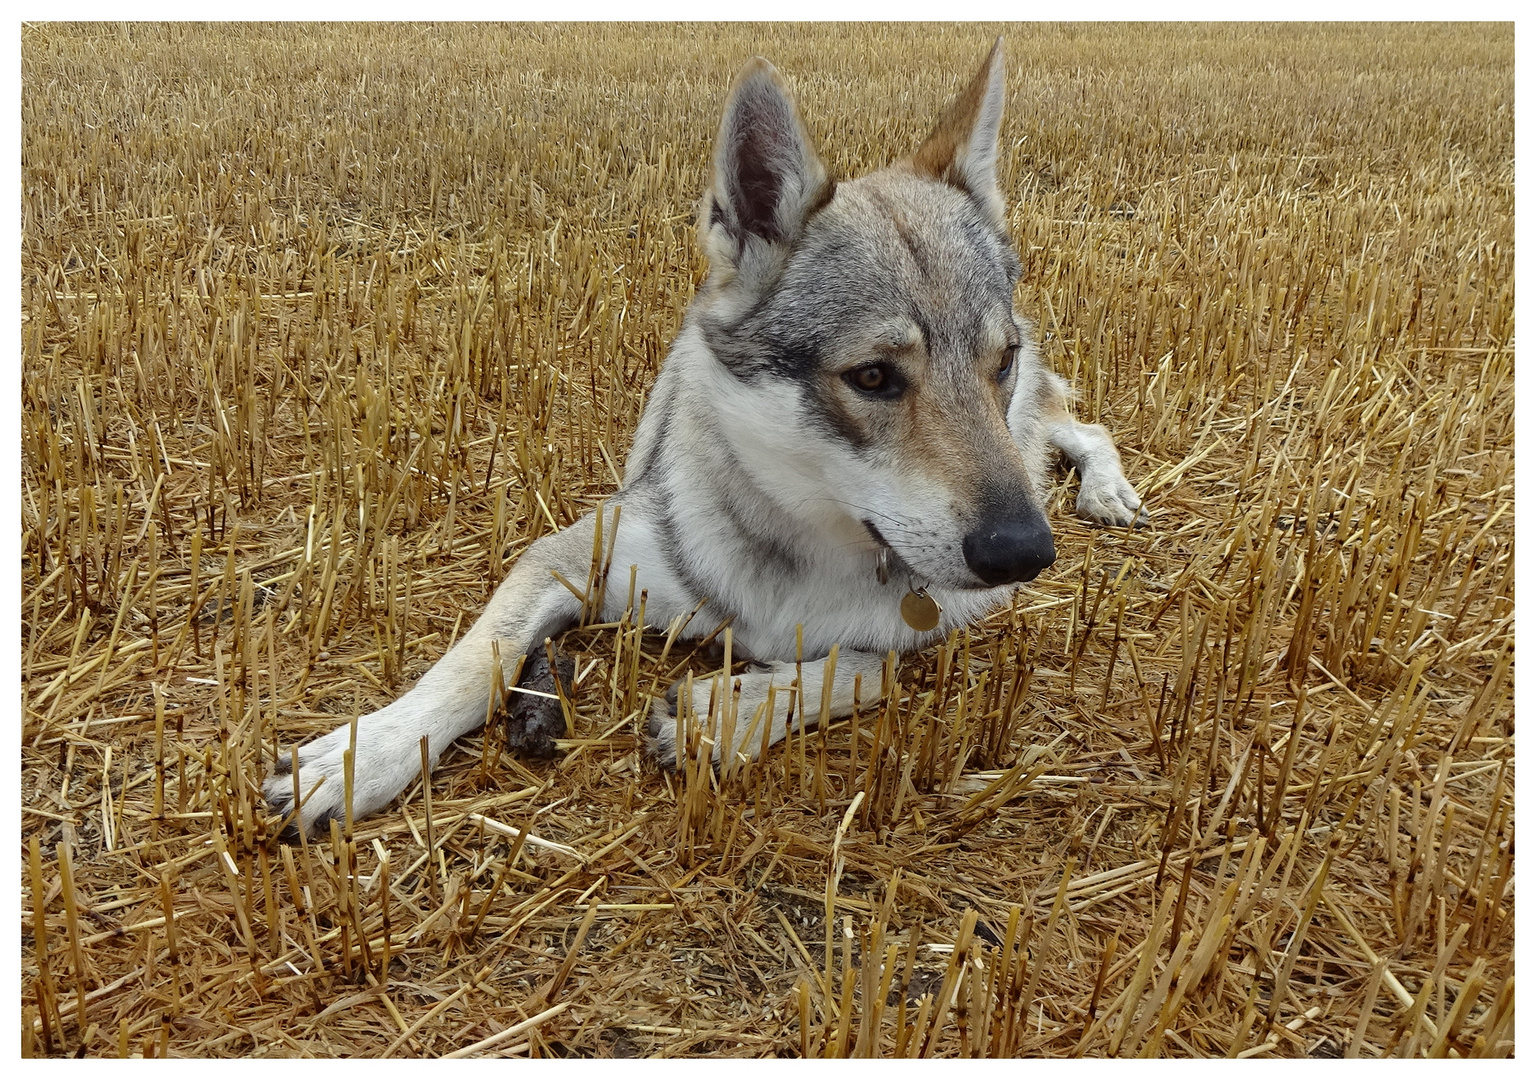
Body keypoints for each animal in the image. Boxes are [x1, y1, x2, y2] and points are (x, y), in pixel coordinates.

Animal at [270, 40, 1148, 835]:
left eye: (999, 361)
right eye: (871, 377)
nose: (1025, 554)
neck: (799, 549)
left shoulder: (940, 635)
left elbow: (856, 670)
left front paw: (725, 714)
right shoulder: (567, 554)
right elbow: (474, 664)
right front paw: (359, 758)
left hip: (1030, 433)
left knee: (1080, 425)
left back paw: (1110, 492)